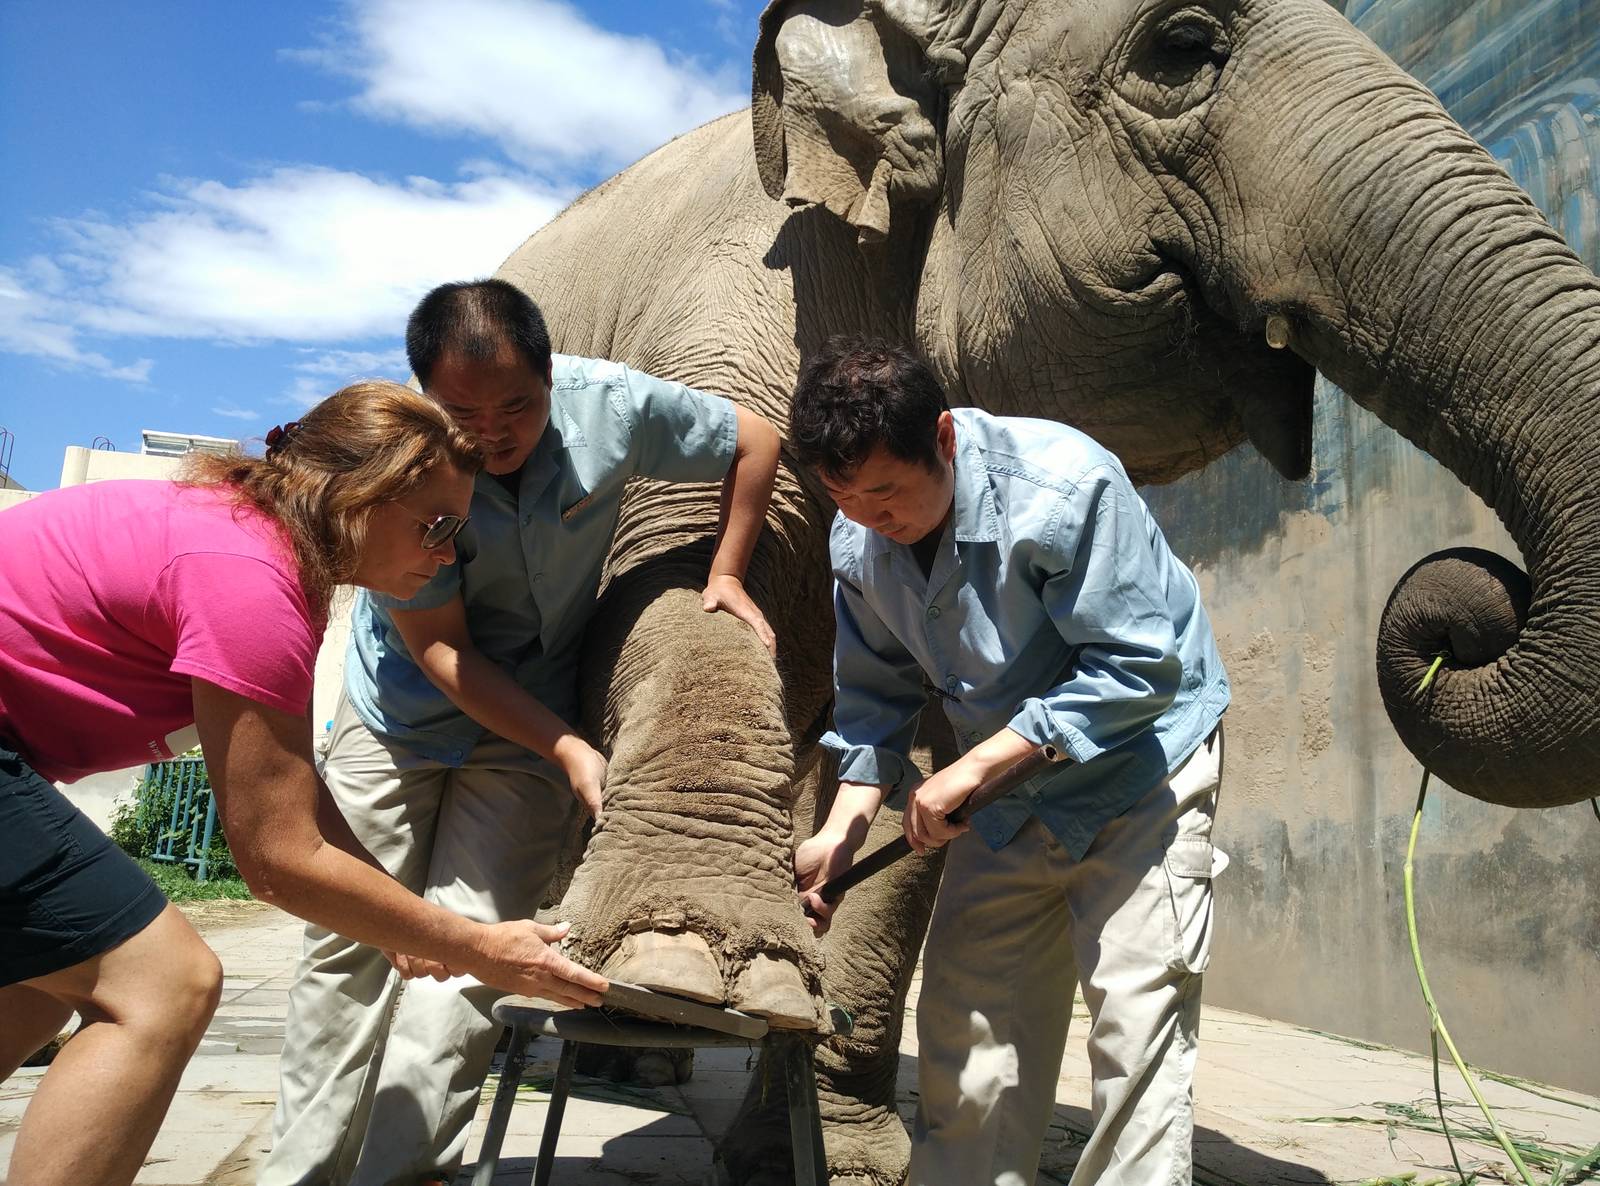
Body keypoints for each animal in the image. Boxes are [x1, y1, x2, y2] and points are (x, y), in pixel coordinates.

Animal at [482, 0, 1600, 1181]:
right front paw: (685, 961)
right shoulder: (728, 309)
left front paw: (841, 1148)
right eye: (1180, 47)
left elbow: (914, 751)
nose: (1468, 612)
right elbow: (682, 575)